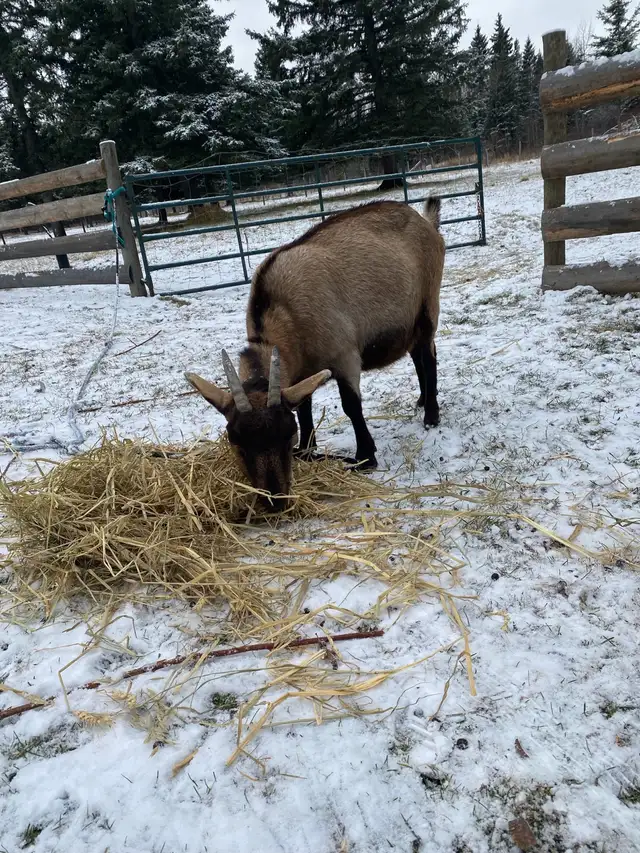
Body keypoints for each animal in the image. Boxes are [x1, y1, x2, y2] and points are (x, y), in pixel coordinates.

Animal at [185, 198, 445, 511]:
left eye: (287, 433)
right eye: (236, 440)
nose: (275, 500)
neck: (284, 310)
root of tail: (424, 221)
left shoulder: (344, 357)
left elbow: (351, 406)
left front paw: (364, 456)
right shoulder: (301, 371)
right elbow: (304, 405)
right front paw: (308, 448)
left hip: (428, 304)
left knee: (428, 356)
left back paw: (431, 414)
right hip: (409, 322)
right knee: (418, 355)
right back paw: (421, 400)